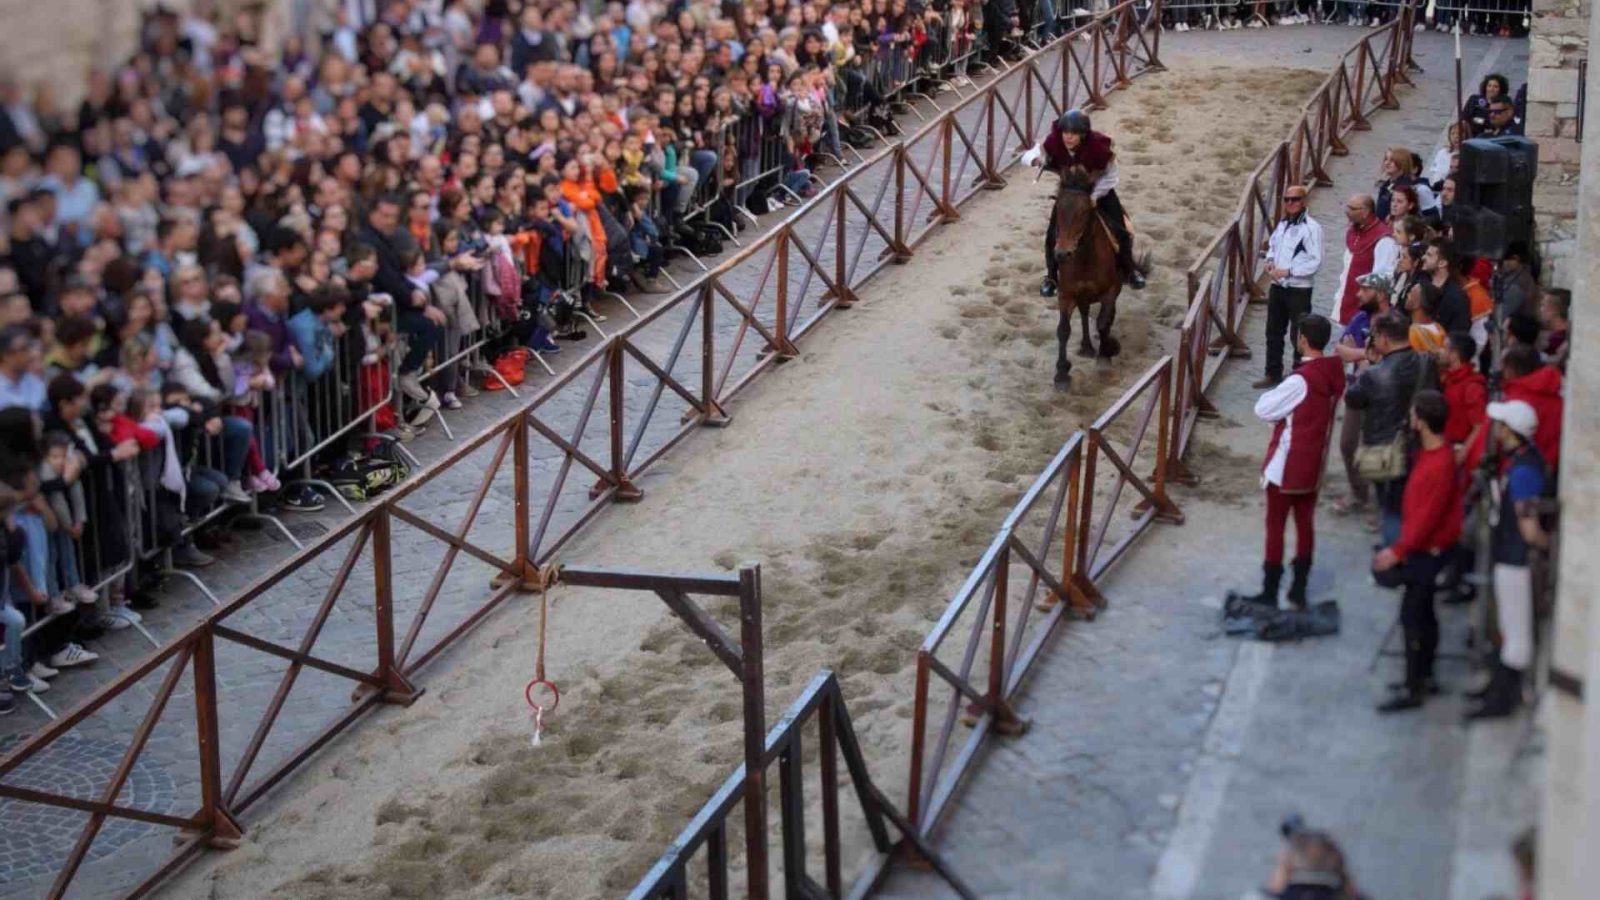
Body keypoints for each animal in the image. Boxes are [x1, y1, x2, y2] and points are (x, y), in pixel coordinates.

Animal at [1049, 168, 1126, 385]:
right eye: (1058, 210)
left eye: (1084, 212)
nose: (1062, 254)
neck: (1085, 257)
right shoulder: (1066, 294)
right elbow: (1063, 330)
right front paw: (1061, 373)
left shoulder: (1109, 291)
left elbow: (1103, 322)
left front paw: (1105, 357)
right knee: (1084, 313)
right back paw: (1086, 346)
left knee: (1106, 317)